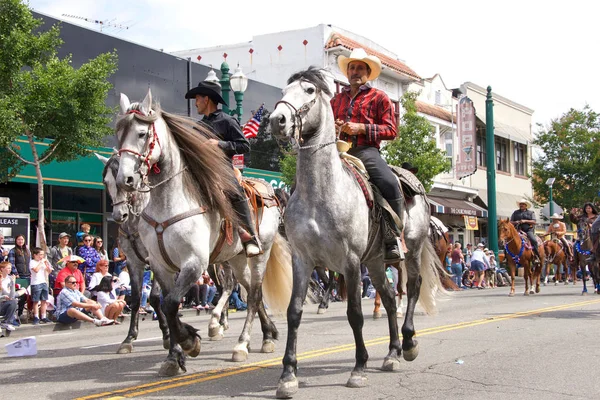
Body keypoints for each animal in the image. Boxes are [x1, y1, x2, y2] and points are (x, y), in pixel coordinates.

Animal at [112, 90, 292, 376]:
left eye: (142, 133)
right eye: (118, 133)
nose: (125, 179)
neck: (168, 203)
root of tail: (269, 193)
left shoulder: (194, 263)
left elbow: (171, 303)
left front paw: (189, 342)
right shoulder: (159, 266)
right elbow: (165, 302)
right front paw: (174, 355)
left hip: (258, 255)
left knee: (253, 295)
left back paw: (242, 344)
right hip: (236, 259)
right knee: (248, 290)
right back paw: (266, 335)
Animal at [270, 67, 442, 398]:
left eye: (309, 90)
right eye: (284, 91)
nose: (277, 120)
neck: (320, 192)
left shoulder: (349, 261)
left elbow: (354, 314)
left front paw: (359, 367)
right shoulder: (303, 260)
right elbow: (294, 311)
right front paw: (288, 374)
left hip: (410, 251)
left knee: (412, 289)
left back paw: (408, 343)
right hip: (375, 261)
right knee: (389, 298)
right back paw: (392, 353)